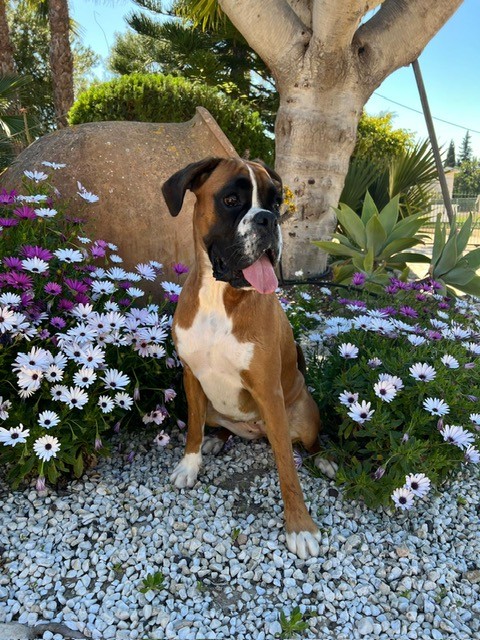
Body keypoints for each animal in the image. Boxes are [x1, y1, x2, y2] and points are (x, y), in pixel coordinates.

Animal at [162, 157, 323, 559]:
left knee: (309, 444)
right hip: (213, 405)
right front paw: (191, 463)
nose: (267, 219)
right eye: (231, 200)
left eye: (276, 202)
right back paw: (217, 438)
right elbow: (192, 428)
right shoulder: (191, 377)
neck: (220, 297)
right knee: (214, 422)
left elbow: (287, 467)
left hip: (303, 416)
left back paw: (325, 460)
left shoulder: (268, 391)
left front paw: (300, 526)